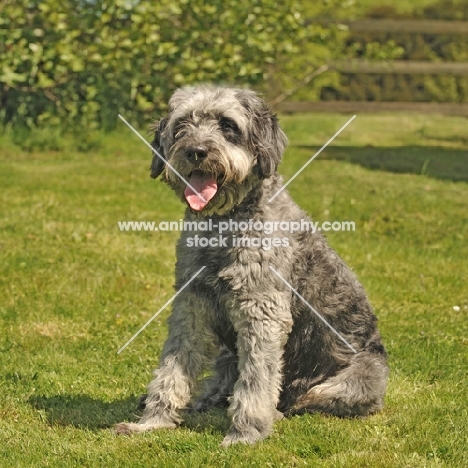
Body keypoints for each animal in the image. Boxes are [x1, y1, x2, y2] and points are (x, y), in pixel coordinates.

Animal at [115, 87, 390, 446]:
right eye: (182, 125)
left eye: (228, 125)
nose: (196, 152)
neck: (222, 226)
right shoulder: (191, 305)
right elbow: (173, 367)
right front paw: (154, 421)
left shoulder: (262, 312)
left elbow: (257, 379)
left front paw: (246, 432)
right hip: (226, 351)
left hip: (357, 377)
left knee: (304, 397)